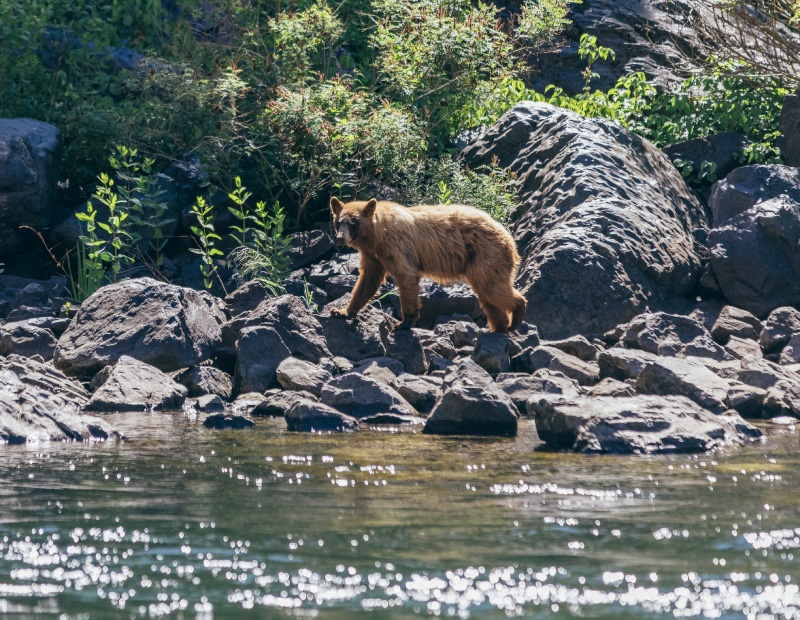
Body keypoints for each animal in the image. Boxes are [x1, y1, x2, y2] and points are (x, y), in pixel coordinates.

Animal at [329, 197, 527, 333]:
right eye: (338, 222)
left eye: (353, 222)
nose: (339, 238)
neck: (375, 235)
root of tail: (510, 239)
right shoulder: (373, 255)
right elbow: (368, 281)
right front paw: (342, 311)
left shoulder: (395, 246)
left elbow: (406, 276)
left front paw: (403, 323)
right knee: (488, 296)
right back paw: (500, 327)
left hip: (487, 255)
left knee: (491, 288)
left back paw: (516, 316)